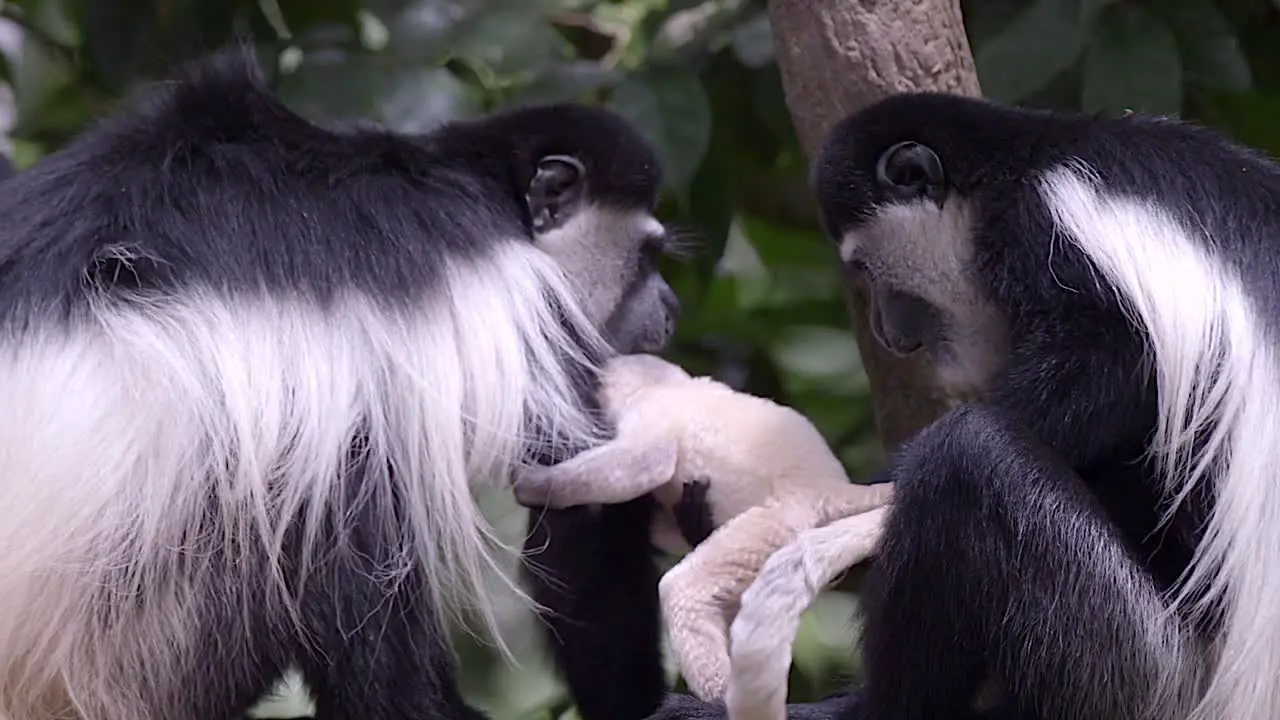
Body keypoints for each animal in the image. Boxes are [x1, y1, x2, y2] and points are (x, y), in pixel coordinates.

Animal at [0, 44, 680, 717]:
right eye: (646, 256)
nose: (670, 308)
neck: (485, 188)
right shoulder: (522, 303)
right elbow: (580, 509)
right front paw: (643, 701)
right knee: (350, 496)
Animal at [650, 94, 1280, 717]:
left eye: (865, 266)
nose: (889, 333)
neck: (1017, 166)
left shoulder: (1048, 229)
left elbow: (1112, 357)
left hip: (1135, 667)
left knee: (965, 459)